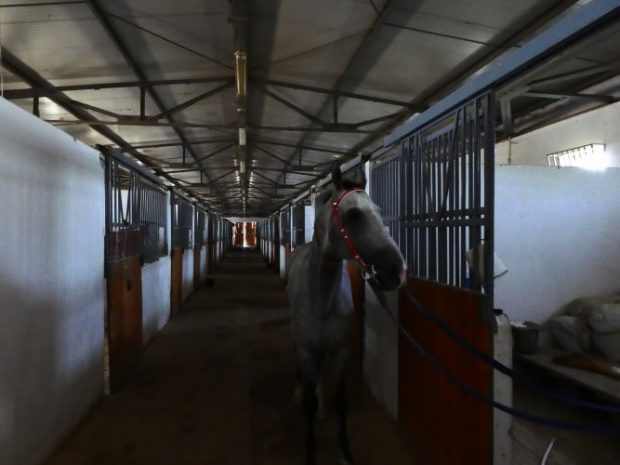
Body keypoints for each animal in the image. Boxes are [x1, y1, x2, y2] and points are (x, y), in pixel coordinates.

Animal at [286, 167, 406, 464]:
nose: (398, 271)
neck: (321, 299)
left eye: (378, 210)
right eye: (354, 215)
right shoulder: (306, 348)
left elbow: (341, 400)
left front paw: (344, 452)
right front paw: (311, 452)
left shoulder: (340, 349)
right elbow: (308, 403)